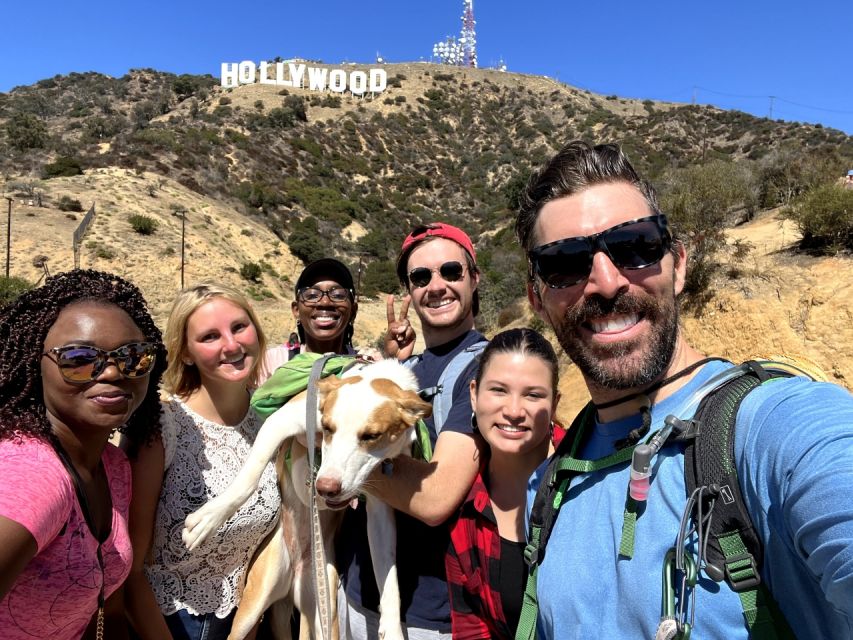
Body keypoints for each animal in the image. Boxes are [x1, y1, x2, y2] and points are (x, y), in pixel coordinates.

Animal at [182, 360, 430, 640]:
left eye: (371, 436)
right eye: (328, 428)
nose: (325, 488)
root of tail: (293, 581)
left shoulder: (380, 505)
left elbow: (388, 575)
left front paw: (392, 626)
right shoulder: (281, 421)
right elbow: (249, 477)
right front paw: (208, 519)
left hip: (325, 612)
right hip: (253, 607)